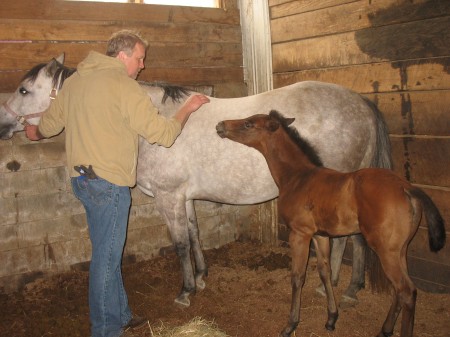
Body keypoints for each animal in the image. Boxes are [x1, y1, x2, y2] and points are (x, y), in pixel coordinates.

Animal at [0, 55, 390, 308]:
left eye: (24, 90)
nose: (3, 124)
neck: (150, 121)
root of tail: (360, 103)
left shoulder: (168, 197)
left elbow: (179, 244)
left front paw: (186, 291)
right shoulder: (184, 198)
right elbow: (195, 234)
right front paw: (202, 276)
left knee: (347, 240)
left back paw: (337, 287)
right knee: (356, 240)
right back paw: (348, 287)